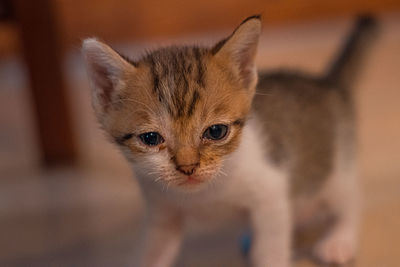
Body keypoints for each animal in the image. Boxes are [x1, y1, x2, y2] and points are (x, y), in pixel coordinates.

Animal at [83, 15, 376, 267]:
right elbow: (152, 252)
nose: (188, 167)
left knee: (349, 200)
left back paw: (339, 240)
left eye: (216, 132)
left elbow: (270, 249)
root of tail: (327, 83)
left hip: (338, 166)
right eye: (151, 138)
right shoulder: (162, 212)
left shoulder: (270, 192)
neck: (203, 195)